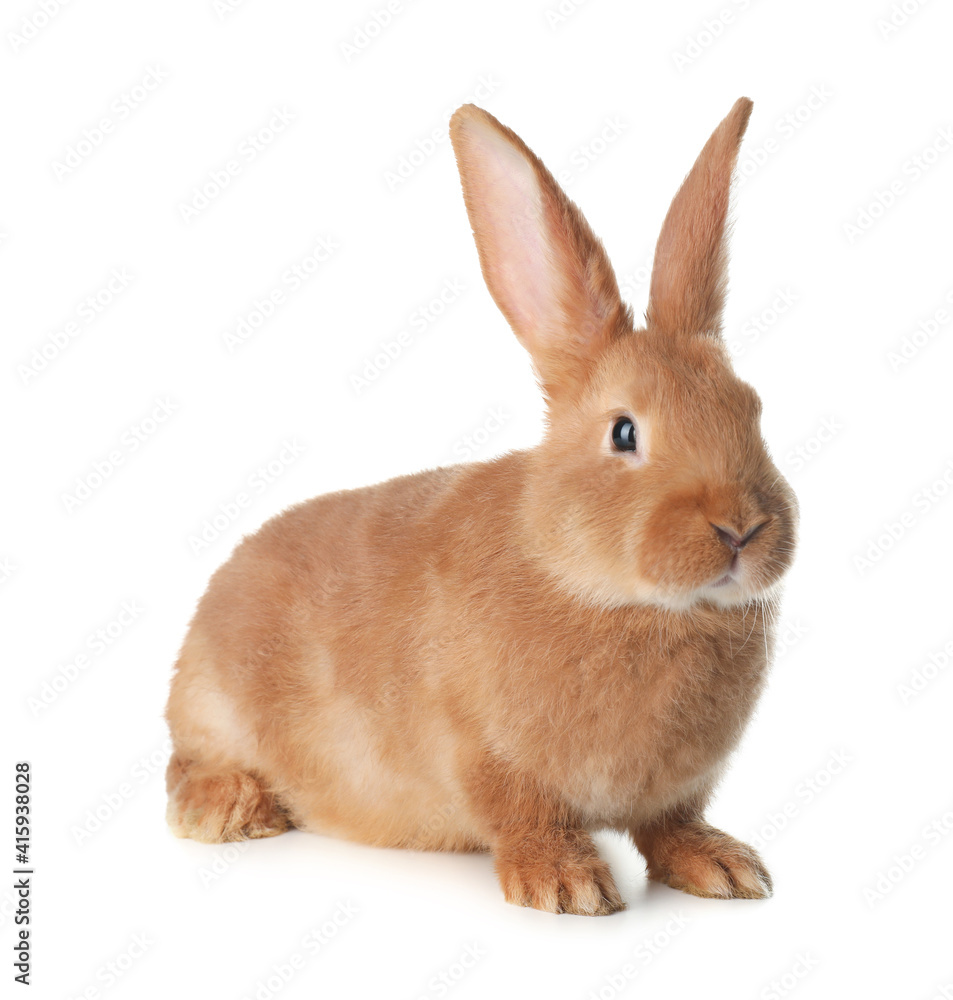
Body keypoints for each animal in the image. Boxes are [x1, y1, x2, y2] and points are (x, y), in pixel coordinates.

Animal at [165, 97, 798, 915]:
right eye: (624, 432)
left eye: (752, 410)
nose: (742, 528)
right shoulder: (481, 753)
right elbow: (523, 815)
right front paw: (565, 885)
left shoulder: (678, 788)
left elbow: (671, 826)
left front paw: (723, 868)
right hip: (210, 710)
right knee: (183, 770)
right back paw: (233, 811)